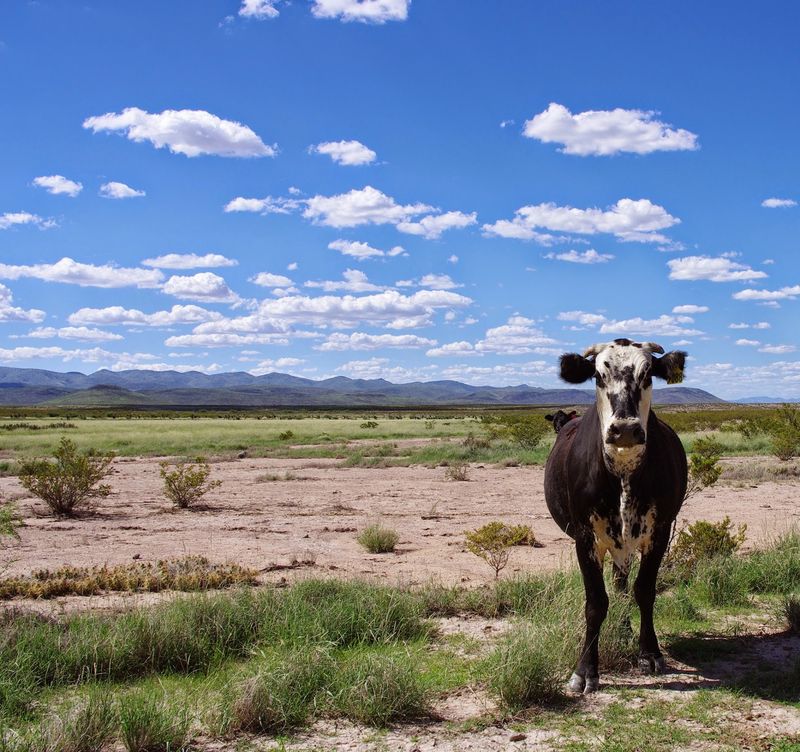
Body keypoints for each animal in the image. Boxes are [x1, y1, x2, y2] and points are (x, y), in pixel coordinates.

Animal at [544, 338, 687, 694]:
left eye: (648, 374)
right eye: (598, 375)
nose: (625, 429)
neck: (623, 472)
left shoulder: (659, 531)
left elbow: (644, 591)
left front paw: (650, 653)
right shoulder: (585, 537)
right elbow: (596, 602)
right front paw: (585, 670)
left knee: (623, 584)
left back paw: (624, 632)